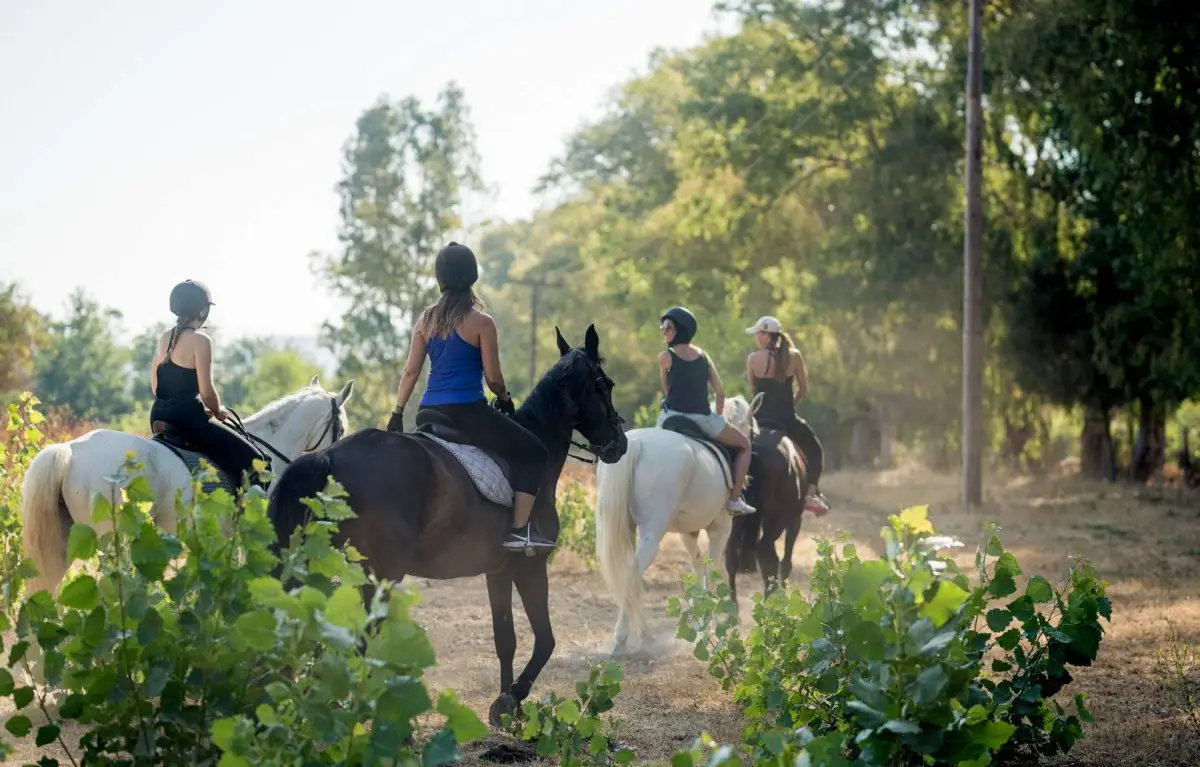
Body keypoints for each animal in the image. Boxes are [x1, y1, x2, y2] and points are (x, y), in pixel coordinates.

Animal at [266, 326, 627, 726]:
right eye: (606, 384)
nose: (619, 443)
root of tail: (328, 458)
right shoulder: (530, 565)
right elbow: (545, 640)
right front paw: (512, 698)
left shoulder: (498, 570)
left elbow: (506, 638)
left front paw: (504, 707)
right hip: (380, 574)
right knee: (364, 639)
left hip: (326, 566)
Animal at [593, 393, 760, 656]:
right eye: (751, 430)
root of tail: (637, 445)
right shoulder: (720, 530)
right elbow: (711, 568)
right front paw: (708, 620)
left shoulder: (688, 532)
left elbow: (698, 564)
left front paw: (699, 613)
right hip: (652, 533)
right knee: (631, 574)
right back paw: (622, 639)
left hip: (626, 528)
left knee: (628, 575)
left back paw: (645, 634)